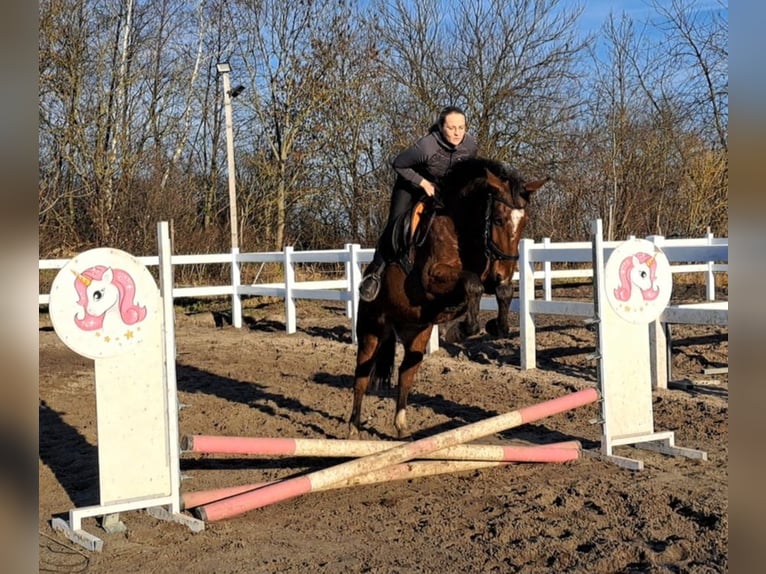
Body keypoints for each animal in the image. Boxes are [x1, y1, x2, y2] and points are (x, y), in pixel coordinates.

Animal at [350, 157, 548, 438]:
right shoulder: (431, 278)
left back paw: (402, 428)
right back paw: (353, 428)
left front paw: (494, 326)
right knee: (362, 376)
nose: (505, 272)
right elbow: (473, 285)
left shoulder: (487, 275)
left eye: (524, 222)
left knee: (405, 375)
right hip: (371, 330)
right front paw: (460, 330)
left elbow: (501, 291)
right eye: (498, 220)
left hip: (416, 334)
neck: (464, 228)